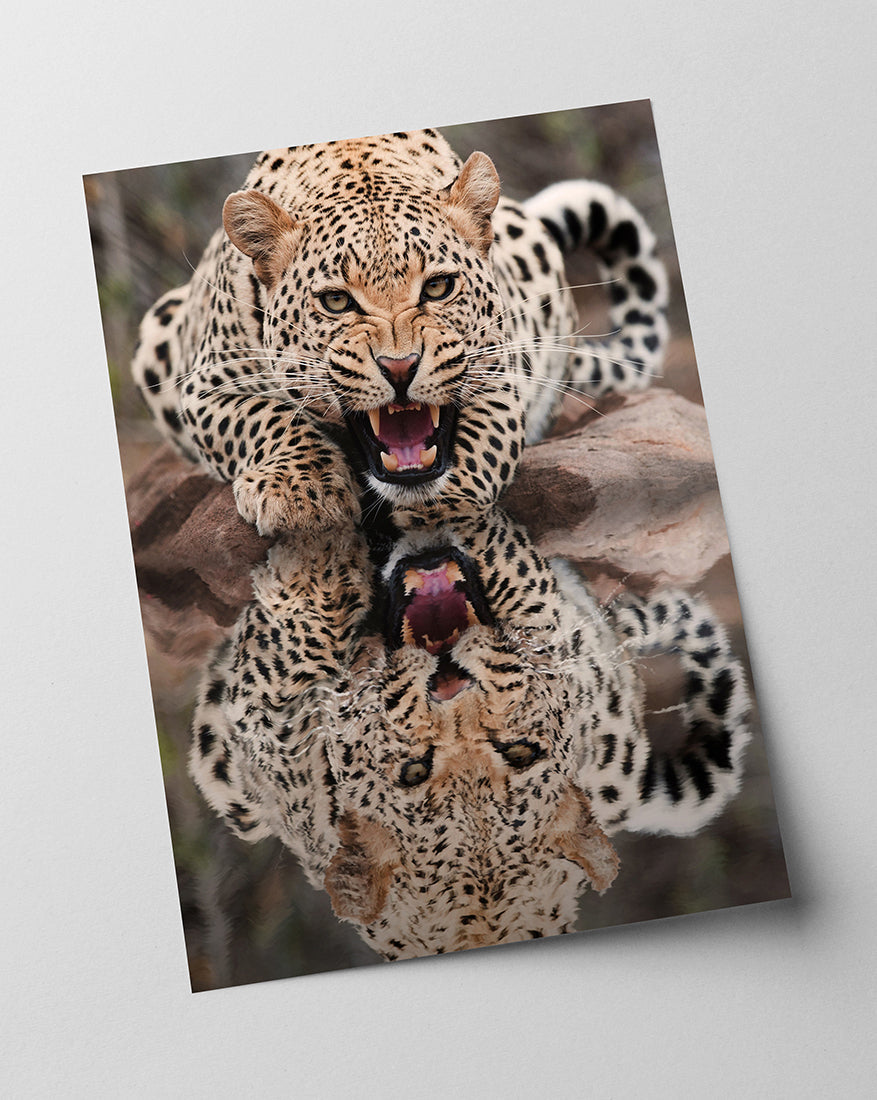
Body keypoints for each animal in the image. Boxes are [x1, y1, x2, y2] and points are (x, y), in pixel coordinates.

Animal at [132, 129, 668, 534]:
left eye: (438, 287)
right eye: (336, 301)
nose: (400, 368)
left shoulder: (501, 371)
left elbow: (481, 445)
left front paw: (445, 505)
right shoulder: (206, 385)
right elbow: (264, 418)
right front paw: (302, 493)